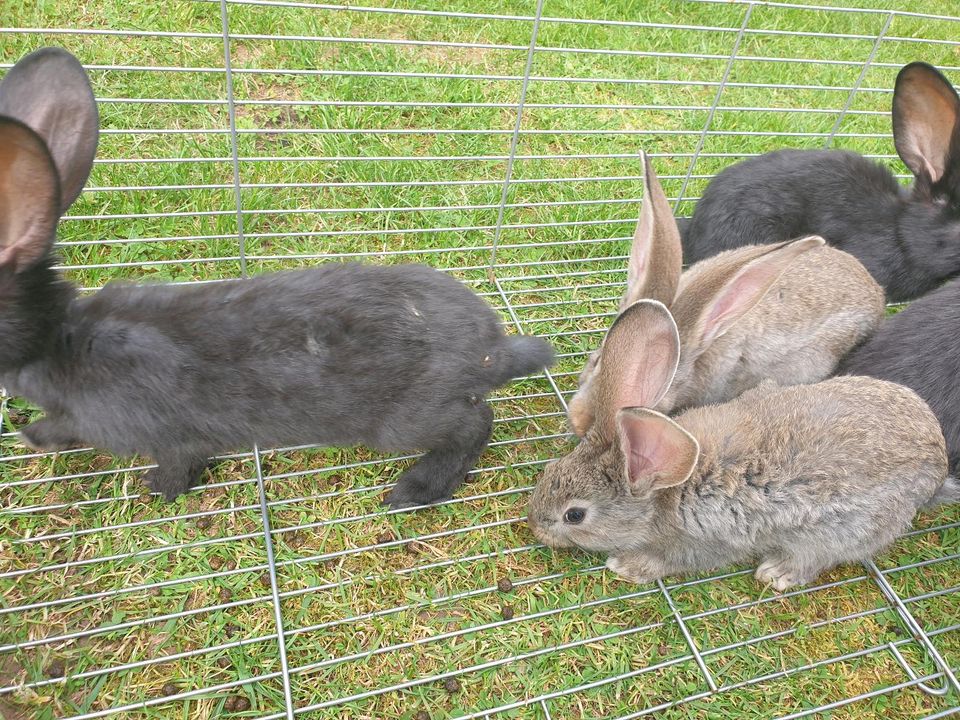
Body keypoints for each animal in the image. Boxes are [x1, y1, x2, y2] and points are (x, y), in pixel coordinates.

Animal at [0, 46, 556, 506]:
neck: (59, 342)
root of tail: (493, 351)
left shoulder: (163, 434)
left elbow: (174, 462)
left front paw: (154, 489)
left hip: (406, 422)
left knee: (475, 424)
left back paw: (414, 491)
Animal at [528, 298, 948, 592]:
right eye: (549, 471)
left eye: (575, 515)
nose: (534, 527)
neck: (668, 487)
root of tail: (939, 460)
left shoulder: (707, 539)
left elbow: (677, 561)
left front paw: (627, 566)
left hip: (842, 531)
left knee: (820, 556)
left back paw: (777, 572)